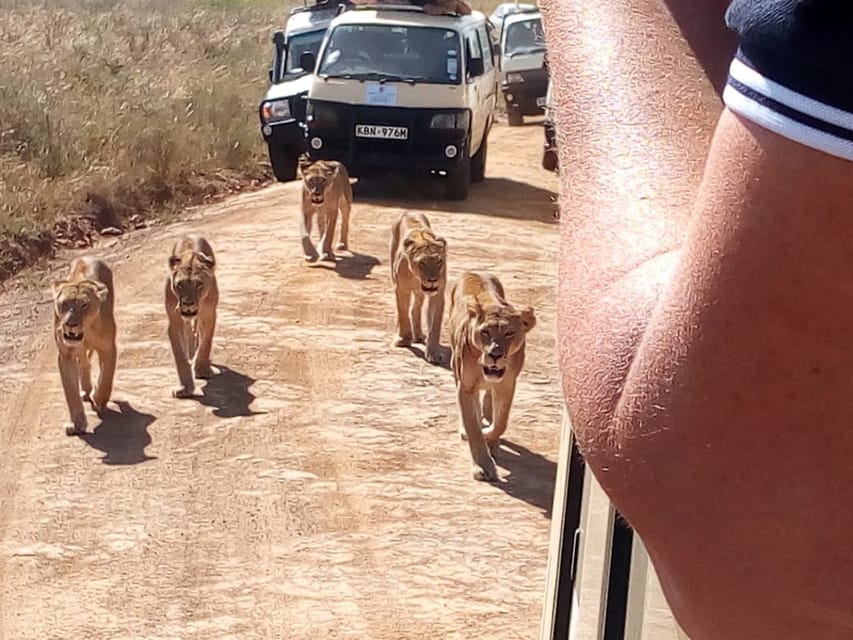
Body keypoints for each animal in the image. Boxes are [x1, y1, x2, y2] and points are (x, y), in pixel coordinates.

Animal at [52, 255, 118, 436]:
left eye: (84, 305)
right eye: (65, 304)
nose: (70, 324)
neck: (86, 331)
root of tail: (86, 256)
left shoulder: (109, 348)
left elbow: (106, 378)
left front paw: (99, 399)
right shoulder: (65, 355)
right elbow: (71, 393)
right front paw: (77, 424)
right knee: (84, 362)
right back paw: (86, 388)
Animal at [165, 232, 220, 398]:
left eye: (198, 285)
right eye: (180, 285)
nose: (188, 303)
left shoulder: (209, 315)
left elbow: (206, 343)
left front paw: (202, 369)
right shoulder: (174, 321)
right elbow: (180, 356)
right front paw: (185, 387)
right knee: (189, 332)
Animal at [390, 209, 450, 360]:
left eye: (439, 261)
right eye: (422, 262)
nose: (433, 279)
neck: (417, 277)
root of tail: (409, 211)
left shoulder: (438, 294)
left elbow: (434, 324)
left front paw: (433, 353)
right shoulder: (401, 288)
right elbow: (403, 312)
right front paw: (404, 339)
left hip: (419, 293)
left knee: (415, 308)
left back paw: (418, 335)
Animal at [450, 270, 536, 480]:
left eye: (509, 333)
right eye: (485, 332)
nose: (494, 355)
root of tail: (474, 271)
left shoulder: (507, 384)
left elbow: (500, 423)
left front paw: (489, 434)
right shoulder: (465, 386)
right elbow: (473, 426)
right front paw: (482, 466)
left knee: (489, 397)